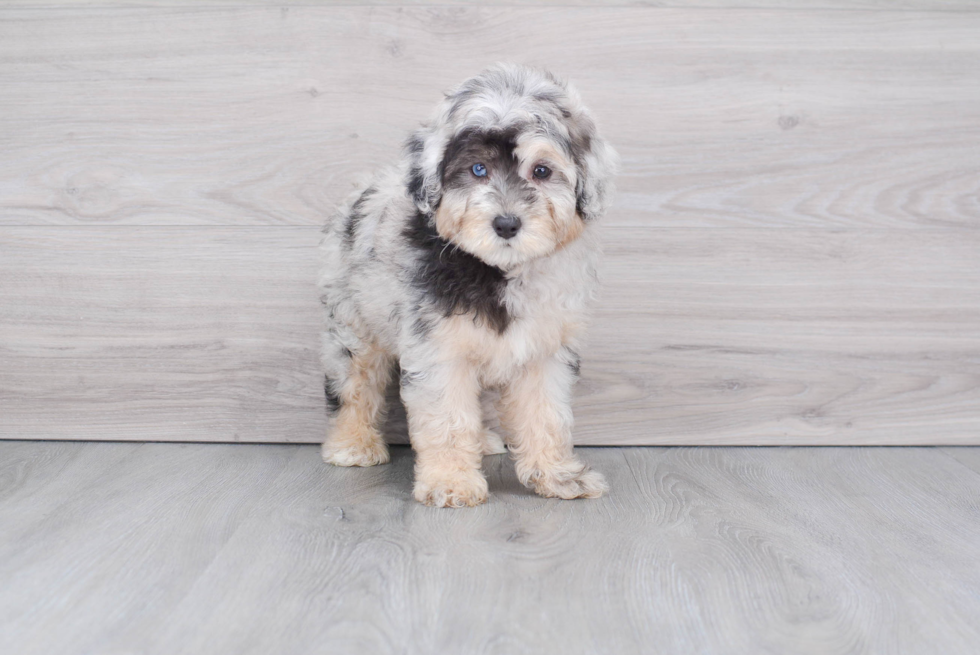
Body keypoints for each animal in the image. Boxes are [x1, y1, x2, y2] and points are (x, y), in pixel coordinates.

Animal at [318, 65, 616, 508]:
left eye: (541, 171)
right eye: (478, 170)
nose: (506, 224)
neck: (496, 270)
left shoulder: (544, 351)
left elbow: (546, 414)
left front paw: (559, 476)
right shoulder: (438, 352)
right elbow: (446, 417)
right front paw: (451, 481)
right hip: (353, 321)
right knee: (354, 382)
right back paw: (352, 443)